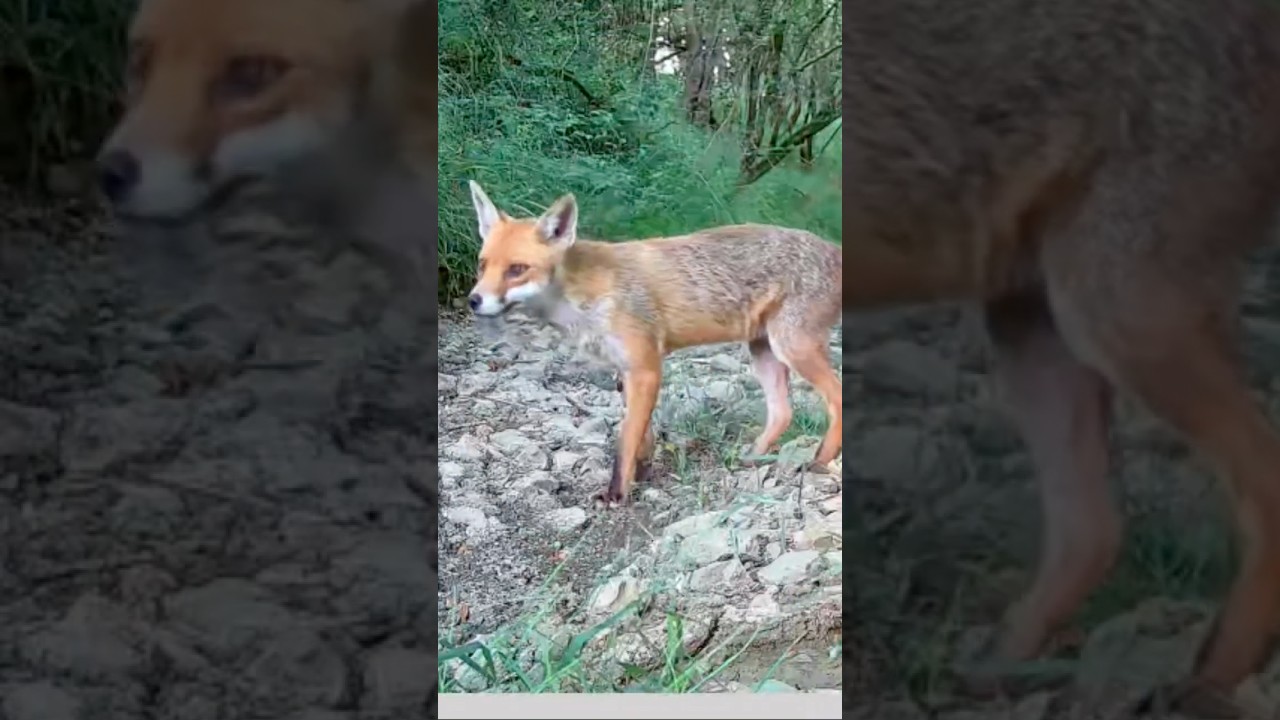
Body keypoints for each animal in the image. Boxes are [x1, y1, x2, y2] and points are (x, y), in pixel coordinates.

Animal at [465, 180, 842, 506]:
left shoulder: (646, 368)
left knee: (835, 398)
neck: (583, 297)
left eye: (517, 269)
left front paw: (617, 494)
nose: (474, 300)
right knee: (782, 412)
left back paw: (820, 462)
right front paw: (643, 472)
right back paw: (752, 456)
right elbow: (641, 435)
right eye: (482, 265)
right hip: (764, 352)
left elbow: (626, 439)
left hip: (792, 347)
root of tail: (833, 247)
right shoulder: (626, 370)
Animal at [847, 0, 1280, 713]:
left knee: (1260, 492)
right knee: (1093, 532)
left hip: (1112, 311)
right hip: (1036, 321)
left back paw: (1210, 684)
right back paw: (999, 669)